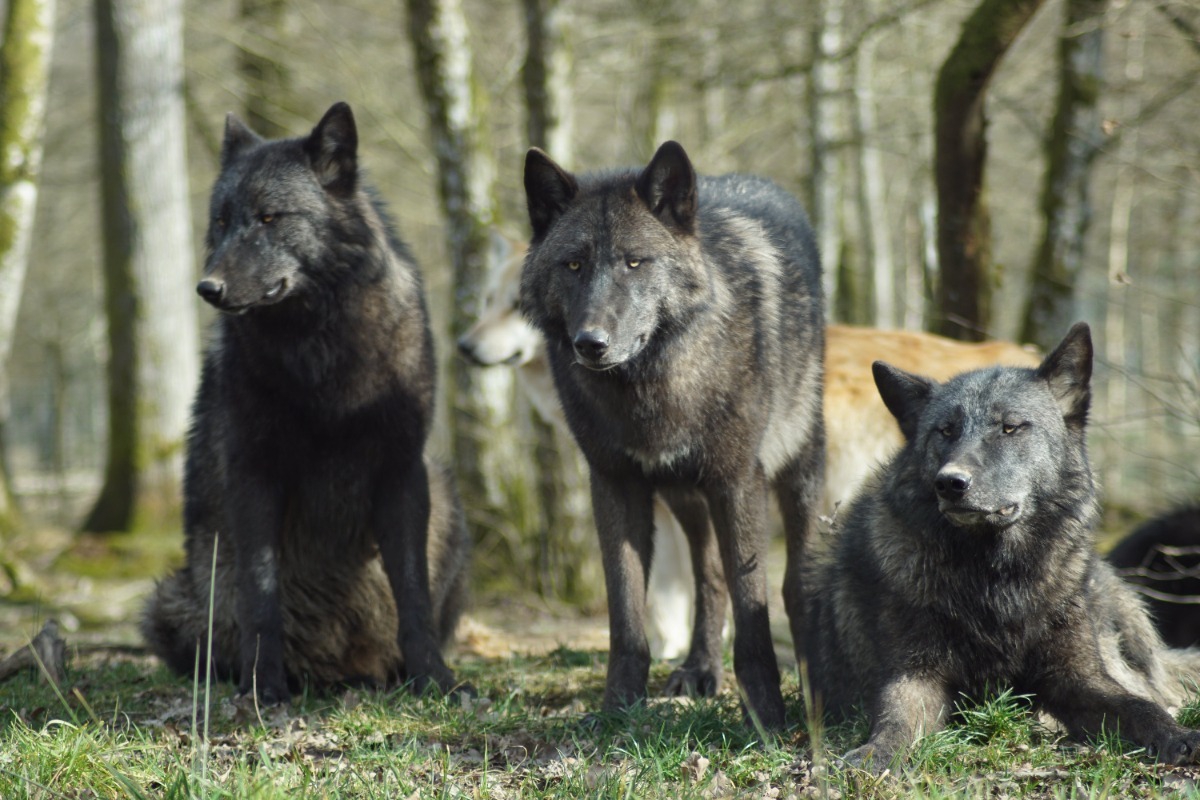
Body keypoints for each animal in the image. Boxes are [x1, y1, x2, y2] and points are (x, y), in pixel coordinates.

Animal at [140, 103, 468, 705]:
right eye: (221, 221)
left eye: (270, 217)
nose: (207, 288)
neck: (321, 349)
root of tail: (335, 671)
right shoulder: (254, 474)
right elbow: (261, 593)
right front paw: (263, 687)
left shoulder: (402, 471)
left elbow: (413, 595)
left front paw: (434, 679)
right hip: (171, 601)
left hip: (448, 497)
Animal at [523, 140, 825, 729]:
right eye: (573, 264)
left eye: (635, 262)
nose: (590, 343)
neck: (650, 389)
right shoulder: (614, 485)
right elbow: (626, 614)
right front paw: (617, 709)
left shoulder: (737, 482)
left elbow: (753, 608)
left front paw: (766, 716)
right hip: (685, 495)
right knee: (708, 577)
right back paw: (700, 668)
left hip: (796, 472)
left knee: (794, 582)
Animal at [801, 323, 1200, 767]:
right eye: (945, 430)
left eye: (1010, 427)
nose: (950, 483)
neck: (995, 578)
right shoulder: (915, 675)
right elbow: (895, 718)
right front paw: (873, 754)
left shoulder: (1078, 677)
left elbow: (1138, 706)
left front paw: (1178, 735)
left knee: (1154, 687)